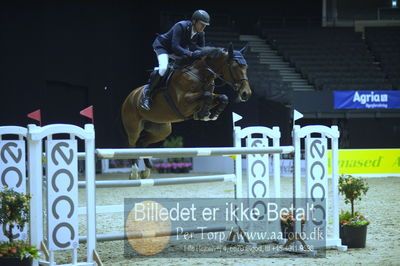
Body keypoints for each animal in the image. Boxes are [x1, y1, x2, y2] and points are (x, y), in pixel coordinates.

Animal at [121, 43, 250, 180]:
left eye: (246, 66)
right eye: (235, 66)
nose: (246, 93)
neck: (200, 74)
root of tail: (130, 96)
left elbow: (222, 97)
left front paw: (211, 114)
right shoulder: (184, 102)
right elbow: (207, 96)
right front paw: (204, 114)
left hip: (161, 130)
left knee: (142, 143)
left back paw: (146, 170)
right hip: (133, 127)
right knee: (132, 144)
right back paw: (134, 172)